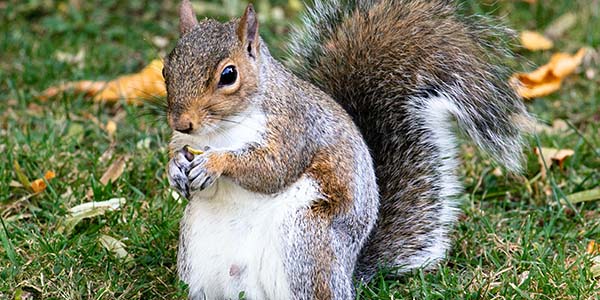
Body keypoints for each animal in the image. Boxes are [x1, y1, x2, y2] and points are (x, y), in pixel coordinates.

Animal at [163, 0, 528, 300]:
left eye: (229, 75)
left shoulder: (295, 129)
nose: (182, 122)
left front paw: (215, 163)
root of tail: (349, 277)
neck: (221, 131)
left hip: (308, 243)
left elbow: (273, 170)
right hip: (196, 254)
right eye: (166, 69)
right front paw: (175, 169)